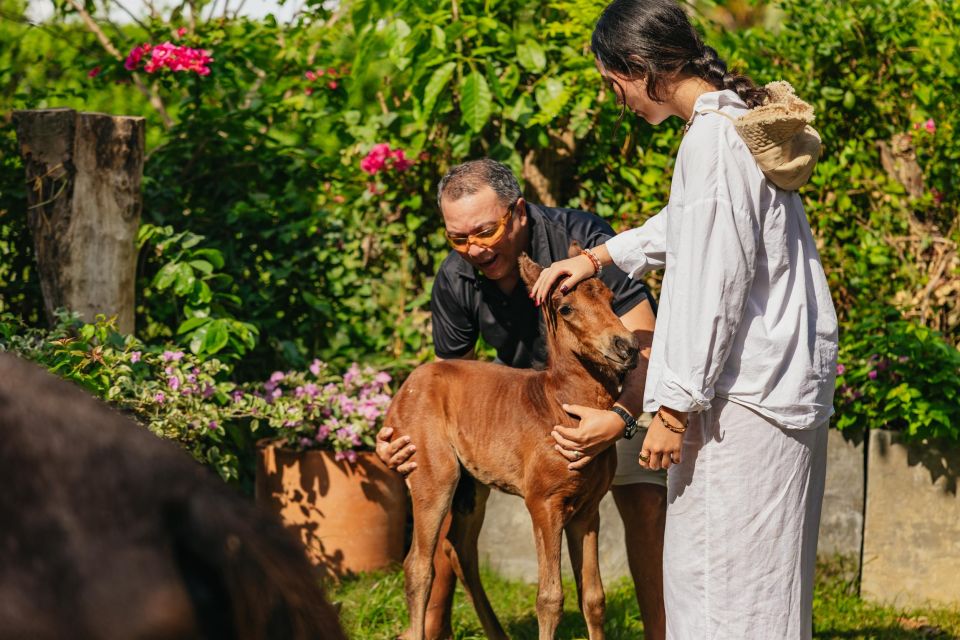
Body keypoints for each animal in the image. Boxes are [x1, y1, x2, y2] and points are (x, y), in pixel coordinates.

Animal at [382, 251, 636, 640]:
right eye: (565, 308)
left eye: (610, 298)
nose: (627, 346)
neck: (561, 405)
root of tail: (405, 386)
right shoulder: (543, 503)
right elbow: (550, 597)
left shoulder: (588, 508)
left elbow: (593, 597)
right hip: (434, 475)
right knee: (419, 565)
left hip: (472, 487)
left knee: (459, 548)